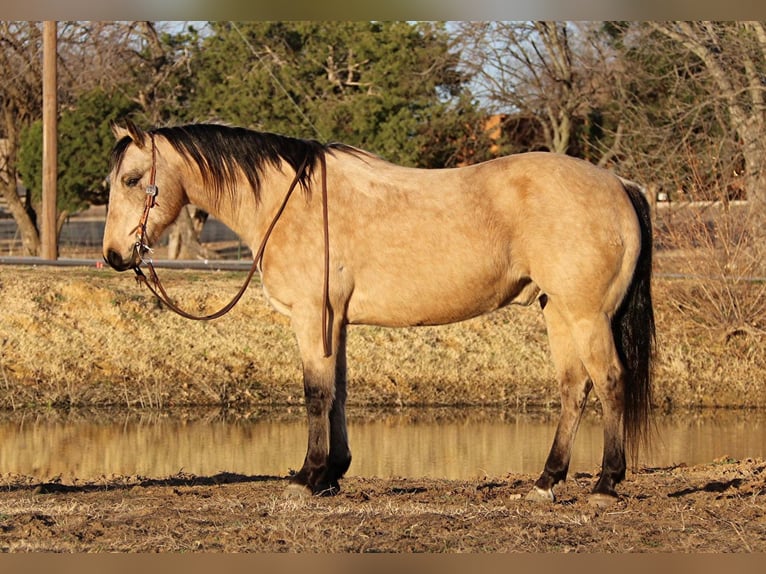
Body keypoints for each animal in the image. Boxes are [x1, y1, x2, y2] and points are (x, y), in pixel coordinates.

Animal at [100, 119, 656, 506]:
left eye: (132, 179)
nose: (114, 256)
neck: (290, 202)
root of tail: (620, 184)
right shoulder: (336, 321)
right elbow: (338, 391)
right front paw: (332, 474)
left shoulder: (312, 317)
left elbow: (315, 393)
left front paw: (307, 477)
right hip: (557, 311)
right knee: (573, 388)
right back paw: (546, 482)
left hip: (586, 315)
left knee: (609, 381)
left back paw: (606, 483)